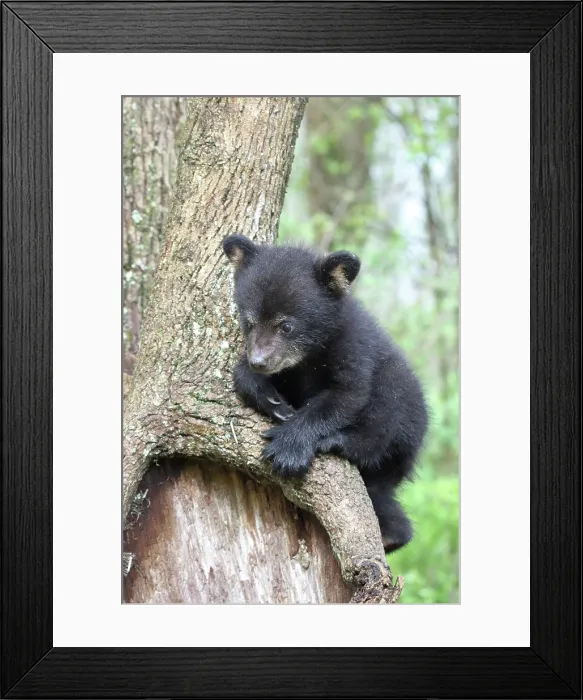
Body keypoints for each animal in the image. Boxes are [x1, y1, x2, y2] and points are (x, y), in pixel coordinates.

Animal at [223, 234, 428, 553]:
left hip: (401, 403)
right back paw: (392, 534)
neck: (309, 357)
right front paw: (271, 399)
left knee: (381, 422)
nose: (259, 361)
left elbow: (344, 396)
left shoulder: (354, 346)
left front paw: (287, 448)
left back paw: (340, 441)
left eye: (286, 325)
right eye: (249, 321)